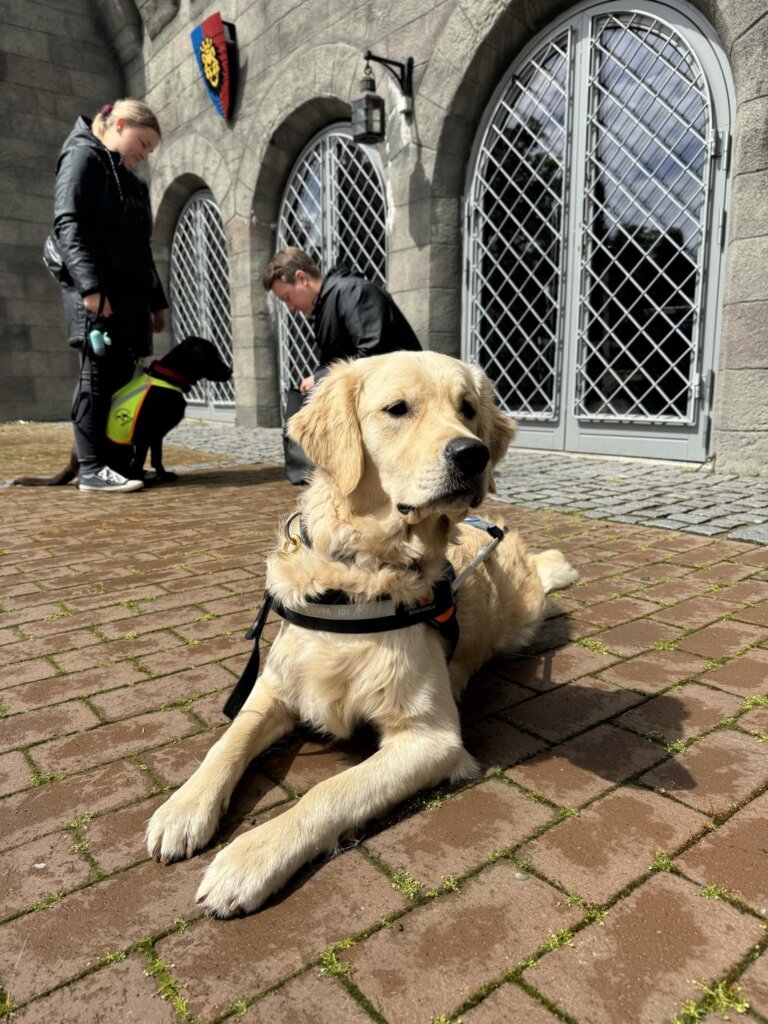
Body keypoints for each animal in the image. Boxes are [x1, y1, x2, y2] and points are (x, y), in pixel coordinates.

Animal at [11, 331, 231, 483]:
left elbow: (157, 457)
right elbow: (144, 458)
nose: (230, 370)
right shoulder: (145, 434)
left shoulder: (156, 435)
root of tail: (71, 463)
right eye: (214, 355)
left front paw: (162, 474)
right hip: (118, 447)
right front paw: (142, 478)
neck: (168, 378)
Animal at [145, 348, 577, 917]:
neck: (360, 576)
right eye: (397, 409)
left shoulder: (430, 738)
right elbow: (228, 742)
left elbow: (330, 791)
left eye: (467, 409)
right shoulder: (273, 685)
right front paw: (183, 808)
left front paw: (249, 859)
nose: (474, 454)